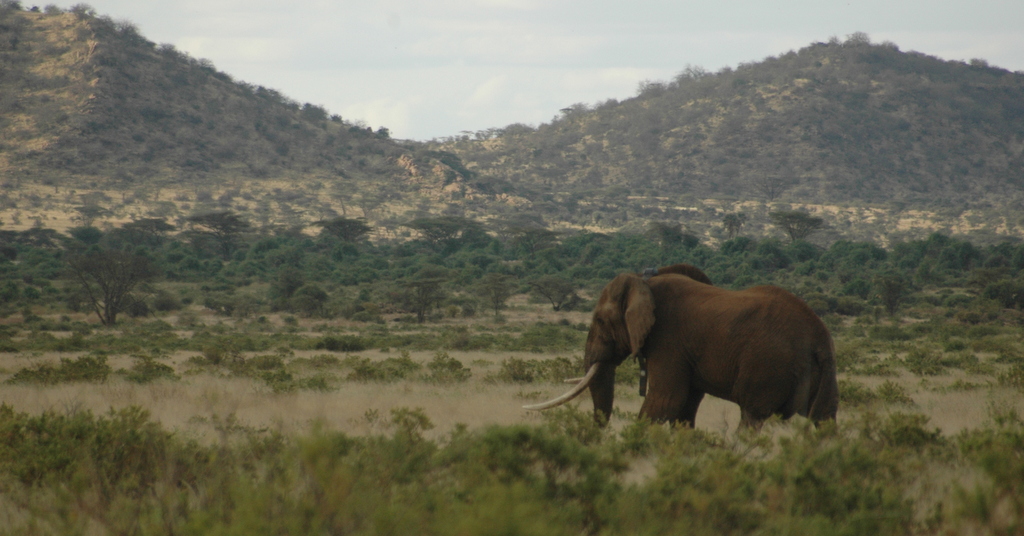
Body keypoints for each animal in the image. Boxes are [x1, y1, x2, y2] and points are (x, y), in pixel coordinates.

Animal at [528, 264, 839, 428]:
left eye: (601, 321)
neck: (645, 281)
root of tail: (818, 338)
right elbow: (686, 405)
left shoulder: (669, 341)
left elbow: (666, 400)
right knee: (824, 419)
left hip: (768, 365)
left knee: (752, 416)